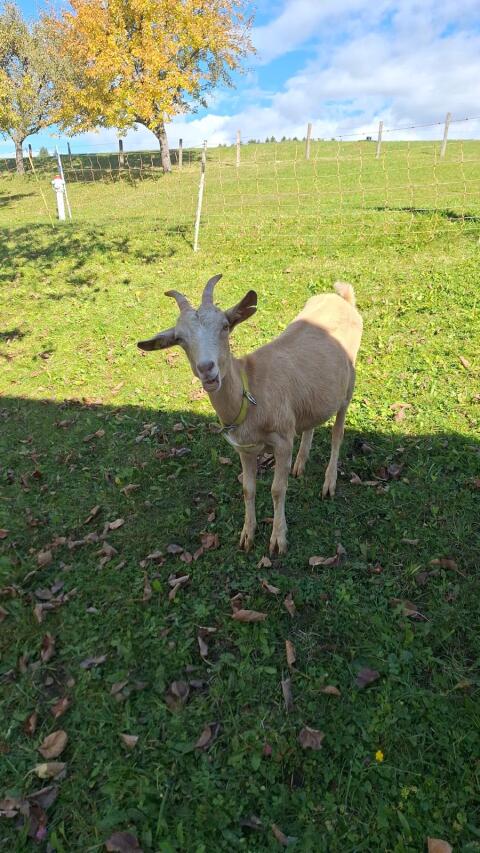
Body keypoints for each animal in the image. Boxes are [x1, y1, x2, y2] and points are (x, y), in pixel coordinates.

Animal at [138, 275, 363, 554]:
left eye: (225, 325)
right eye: (179, 339)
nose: (207, 369)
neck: (249, 390)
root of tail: (343, 298)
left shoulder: (282, 439)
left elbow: (277, 489)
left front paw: (278, 539)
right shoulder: (244, 449)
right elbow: (248, 489)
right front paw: (247, 534)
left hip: (348, 385)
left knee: (337, 433)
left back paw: (329, 482)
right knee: (311, 421)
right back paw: (300, 463)